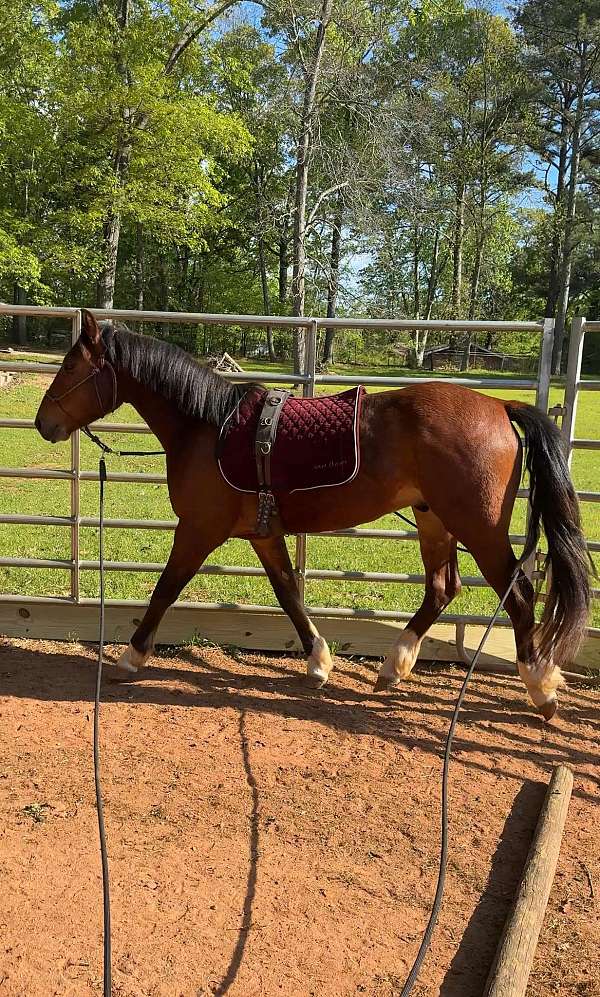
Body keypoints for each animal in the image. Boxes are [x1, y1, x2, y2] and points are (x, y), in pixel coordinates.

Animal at [35, 309, 591, 720]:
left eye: (71, 368)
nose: (43, 423)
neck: (208, 427)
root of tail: (499, 406)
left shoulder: (198, 530)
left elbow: (165, 588)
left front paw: (131, 655)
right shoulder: (261, 534)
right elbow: (287, 592)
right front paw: (319, 661)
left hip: (479, 528)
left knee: (518, 595)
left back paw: (542, 687)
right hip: (434, 520)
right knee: (442, 588)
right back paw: (395, 666)